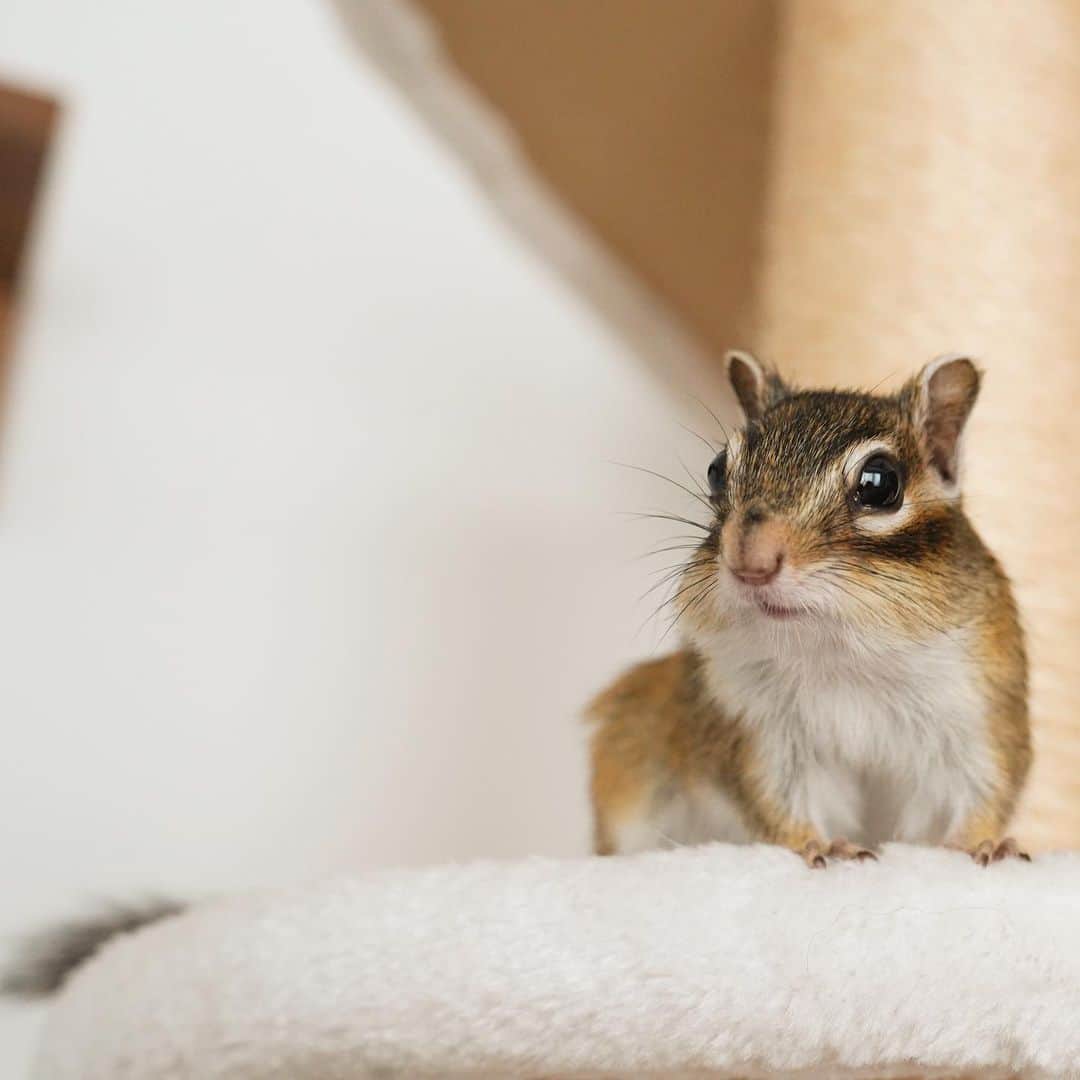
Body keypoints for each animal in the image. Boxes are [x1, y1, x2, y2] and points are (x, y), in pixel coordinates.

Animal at [588, 352, 1030, 868]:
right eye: (716, 470)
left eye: (880, 482)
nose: (751, 561)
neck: (842, 654)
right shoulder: (757, 731)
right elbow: (778, 801)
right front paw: (823, 845)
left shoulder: (979, 712)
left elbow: (984, 788)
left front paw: (984, 841)